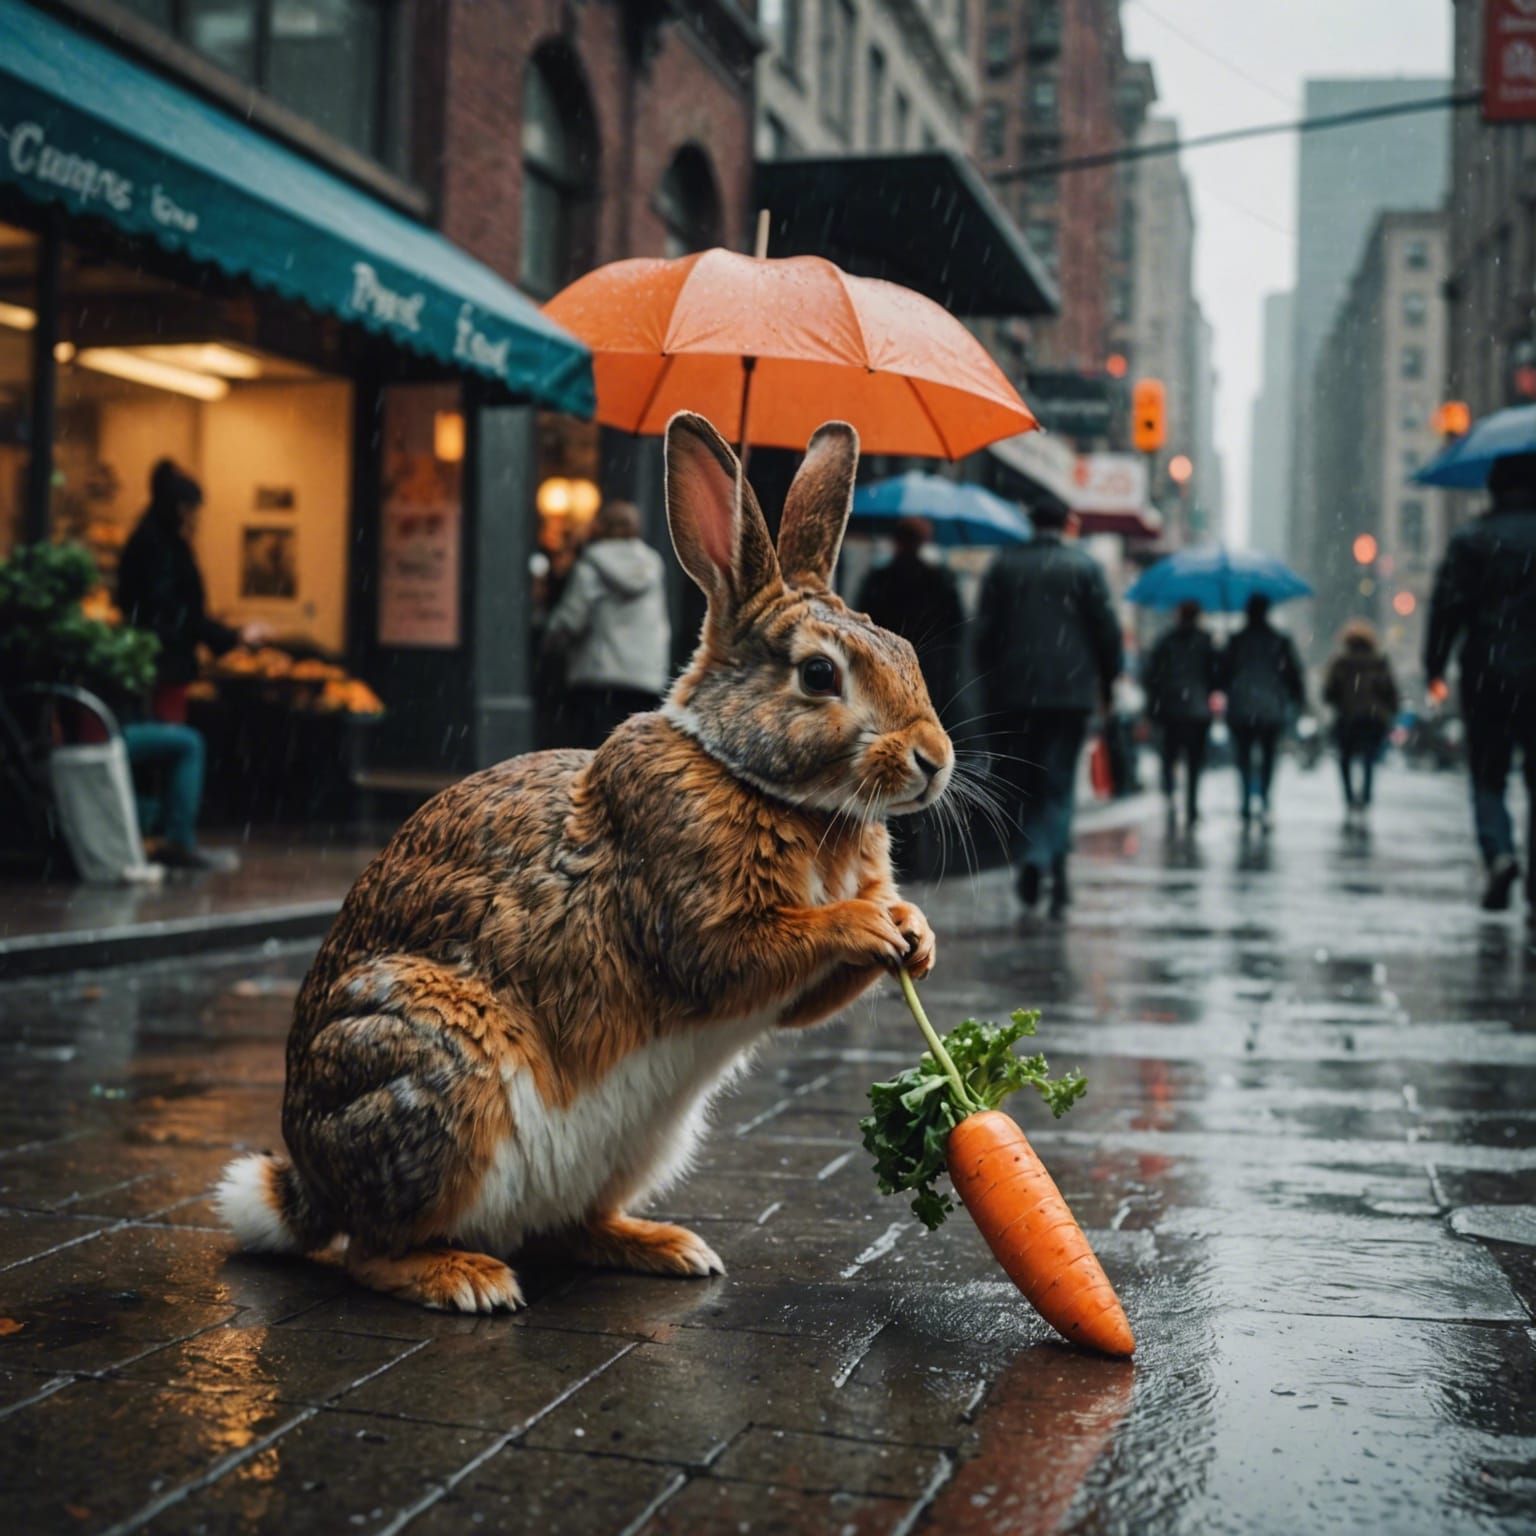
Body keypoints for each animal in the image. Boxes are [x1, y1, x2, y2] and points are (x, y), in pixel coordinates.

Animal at [215, 412, 954, 1313]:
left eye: (905, 647)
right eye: (819, 674)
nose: (935, 761)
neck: (761, 782)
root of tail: (309, 1186)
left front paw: (915, 932)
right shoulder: (694, 919)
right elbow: (745, 950)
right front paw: (869, 921)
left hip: (638, 1145)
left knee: (564, 1227)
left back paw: (664, 1245)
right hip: (434, 1078)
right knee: (370, 1250)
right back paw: (467, 1279)